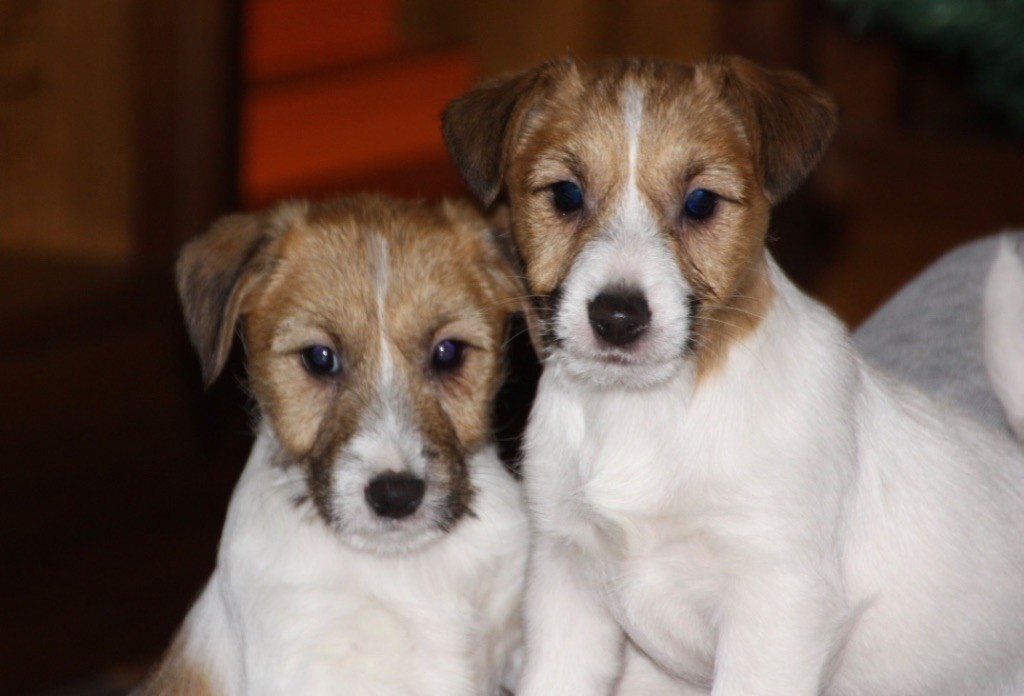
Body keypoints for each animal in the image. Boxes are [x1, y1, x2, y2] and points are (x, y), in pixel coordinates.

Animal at [444, 55, 1024, 696]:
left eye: (700, 203)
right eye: (566, 194)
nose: (617, 318)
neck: (646, 412)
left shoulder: (775, 607)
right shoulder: (566, 585)